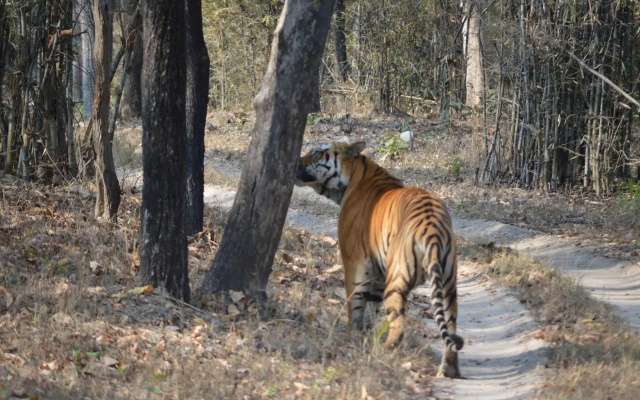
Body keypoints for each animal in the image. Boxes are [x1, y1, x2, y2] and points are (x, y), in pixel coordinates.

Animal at [295, 141, 463, 378]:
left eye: (317, 152)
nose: (295, 162)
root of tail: (432, 227)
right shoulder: (377, 272)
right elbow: (371, 310)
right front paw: (367, 338)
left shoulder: (354, 261)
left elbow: (355, 305)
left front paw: (353, 338)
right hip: (448, 284)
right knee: (450, 326)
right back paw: (449, 369)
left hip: (397, 277)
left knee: (399, 324)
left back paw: (384, 353)